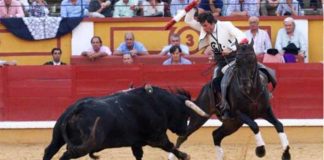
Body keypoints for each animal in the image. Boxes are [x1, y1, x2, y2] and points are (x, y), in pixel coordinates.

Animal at [42, 85, 208, 159]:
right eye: (185, 113)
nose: (184, 131)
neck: (159, 104)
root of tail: (76, 109)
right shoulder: (157, 138)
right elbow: (170, 146)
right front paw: (185, 155)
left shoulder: (136, 142)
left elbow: (138, 155)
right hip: (84, 145)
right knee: (66, 155)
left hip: (58, 137)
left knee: (49, 151)